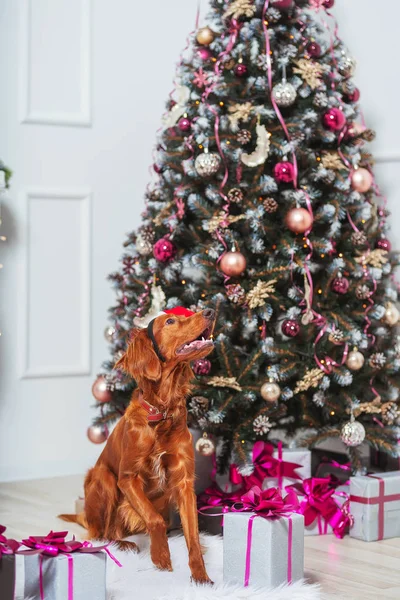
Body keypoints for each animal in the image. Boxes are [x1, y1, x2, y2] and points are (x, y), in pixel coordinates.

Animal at [58, 308, 216, 584]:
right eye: (170, 320)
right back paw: (124, 544)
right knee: (101, 534)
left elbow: (194, 537)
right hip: (103, 478)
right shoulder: (127, 477)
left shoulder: (184, 482)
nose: (210, 310)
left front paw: (201, 578)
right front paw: (161, 557)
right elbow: (154, 519)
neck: (162, 413)